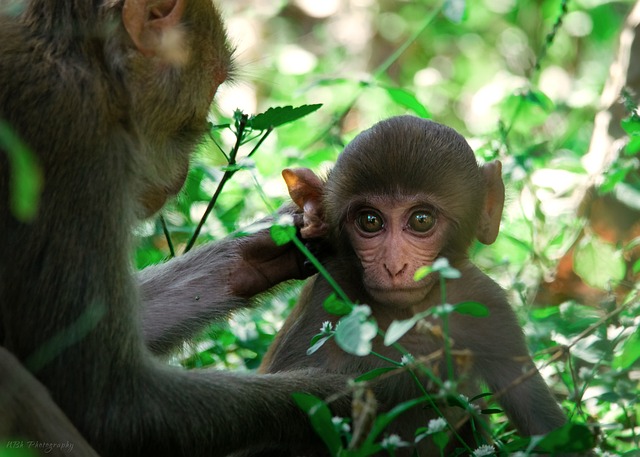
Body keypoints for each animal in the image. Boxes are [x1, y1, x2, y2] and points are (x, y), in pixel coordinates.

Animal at [0, 0, 350, 456]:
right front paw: (337, 400)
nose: (191, 158)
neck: (91, 66)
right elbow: (109, 402)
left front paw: (268, 248)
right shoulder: (77, 140)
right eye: (213, 81)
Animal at [258, 116, 568, 452]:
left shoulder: (487, 306)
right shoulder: (327, 299)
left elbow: (544, 423)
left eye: (421, 220)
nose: (394, 266)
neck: (410, 315)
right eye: (370, 221)